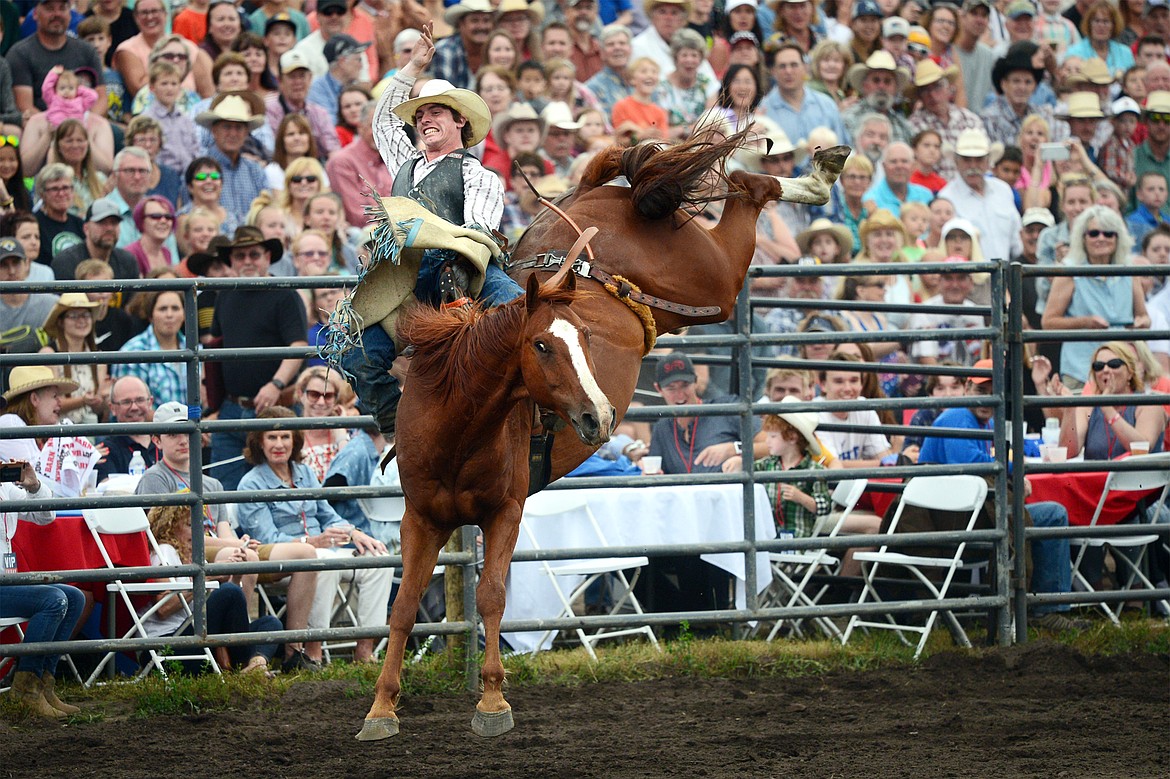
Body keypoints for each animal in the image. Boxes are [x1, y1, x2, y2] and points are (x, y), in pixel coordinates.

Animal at [358, 133, 851, 739]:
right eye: (541, 345)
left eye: (586, 338)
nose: (600, 416)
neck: (458, 426)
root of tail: (598, 194)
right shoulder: (421, 517)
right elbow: (404, 606)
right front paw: (381, 708)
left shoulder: (506, 510)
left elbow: (492, 595)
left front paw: (492, 702)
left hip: (710, 281)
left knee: (746, 190)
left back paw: (818, 174)